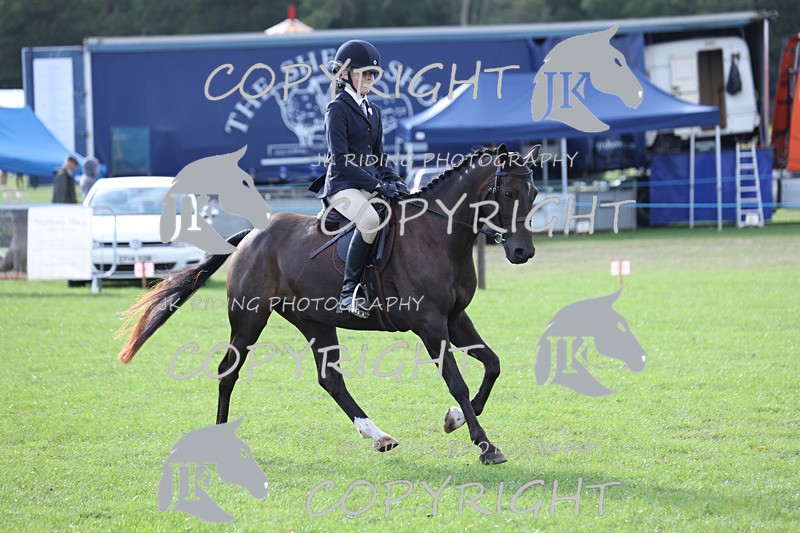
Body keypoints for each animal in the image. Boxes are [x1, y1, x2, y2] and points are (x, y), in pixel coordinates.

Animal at [119, 143, 540, 466]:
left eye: (533, 195)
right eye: (507, 194)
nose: (523, 252)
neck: (439, 234)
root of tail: (251, 235)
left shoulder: (454, 317)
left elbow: (492, 365)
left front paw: (455, 420)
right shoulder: (430, 323)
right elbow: (457, 382)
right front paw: (485, 446)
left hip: (315, 321)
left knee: (330, 379)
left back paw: (378, 435)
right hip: (249, 319)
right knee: (228, 372)